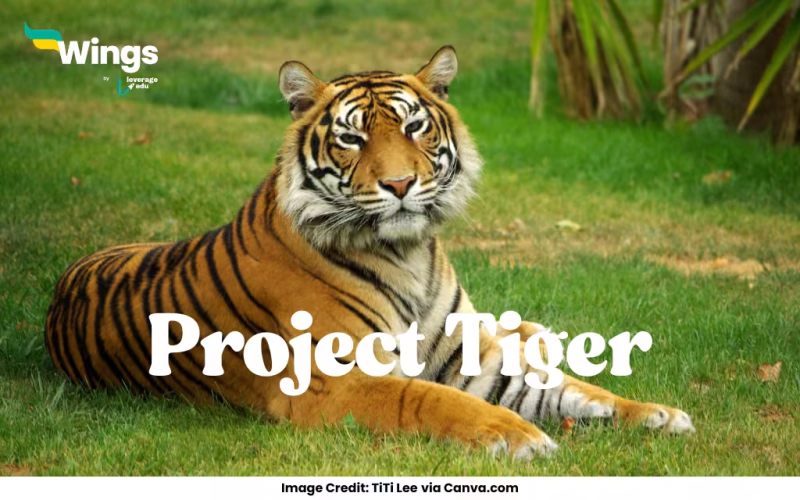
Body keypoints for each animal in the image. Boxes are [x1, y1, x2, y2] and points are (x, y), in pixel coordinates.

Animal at [45, 46, 694, 459]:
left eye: (413, 128)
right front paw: (518, 436)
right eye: (352, 137)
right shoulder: (333, 382)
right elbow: (426, 397)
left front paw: (655, 413)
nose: (401, 184)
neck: (409, 253)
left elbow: (570, 389)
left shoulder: (470, 359)